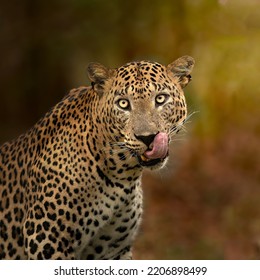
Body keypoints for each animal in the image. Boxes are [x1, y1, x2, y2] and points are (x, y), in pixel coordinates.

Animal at [0, 55, 195, 260]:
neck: (122, 174)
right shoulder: (45, 239)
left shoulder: (113, 249)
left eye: (160, 99)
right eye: (123, 104)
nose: (148, 137)